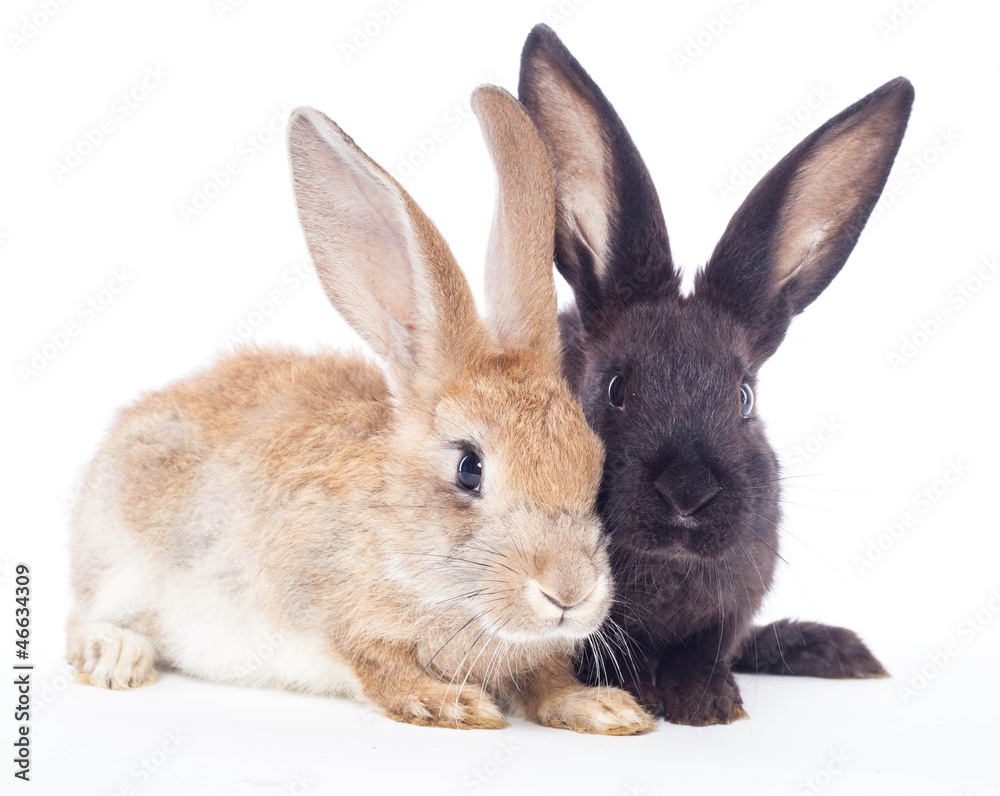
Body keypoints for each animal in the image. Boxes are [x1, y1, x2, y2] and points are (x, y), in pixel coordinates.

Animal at [65, 83, 655, 735]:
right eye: (469, 468)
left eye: (594, 465)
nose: (569, 592)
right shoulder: (329, 613)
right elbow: (378, 664)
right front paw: (452, 702)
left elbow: (547, 680)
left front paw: (605, 708)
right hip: (120, 561)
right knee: (79, 622)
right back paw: (119, 656)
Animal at [518, 24, 912, 725]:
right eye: (614, 389)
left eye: (745, 396)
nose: (687, 491)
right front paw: (636, 694)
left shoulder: (735, 599)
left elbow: (708, 647)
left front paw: (705, 703)